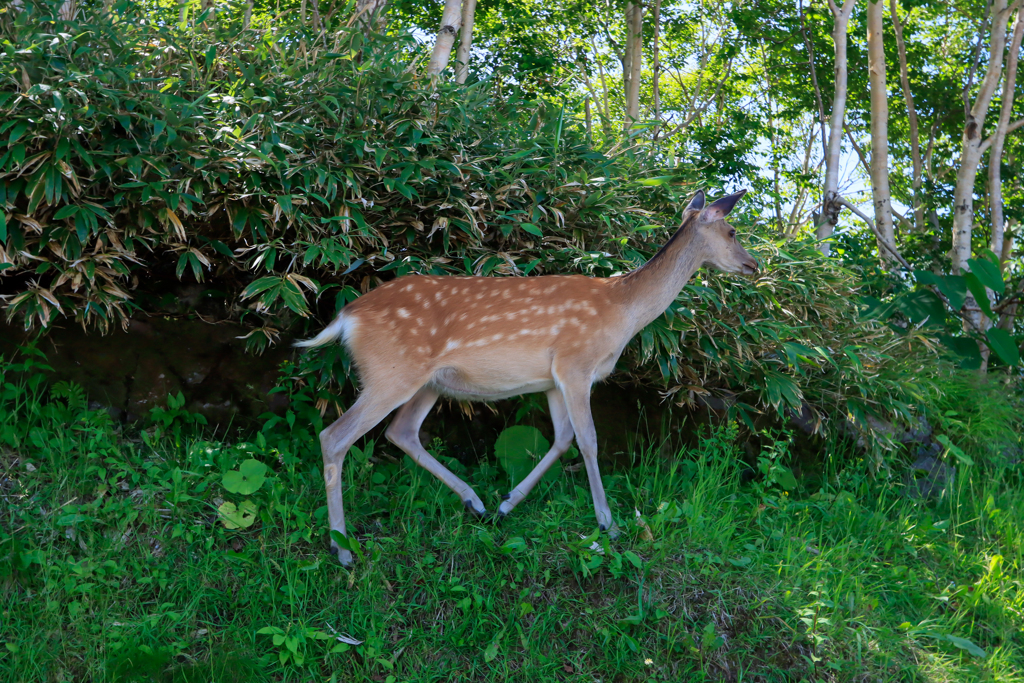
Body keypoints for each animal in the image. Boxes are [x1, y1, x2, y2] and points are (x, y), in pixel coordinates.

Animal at [296, 188, 753, 565]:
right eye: (732, 231)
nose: (754, 263)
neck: (623, 310)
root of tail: (346, 316)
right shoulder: (575, 364)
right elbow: (589, 440)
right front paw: (608, 523)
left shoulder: (550, 379)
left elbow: (562, 439)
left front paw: (507, 504)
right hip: (392, 372)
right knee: (334, 435)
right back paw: (342, 548)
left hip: (429, 381)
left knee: (401, 432)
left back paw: (475, 502)